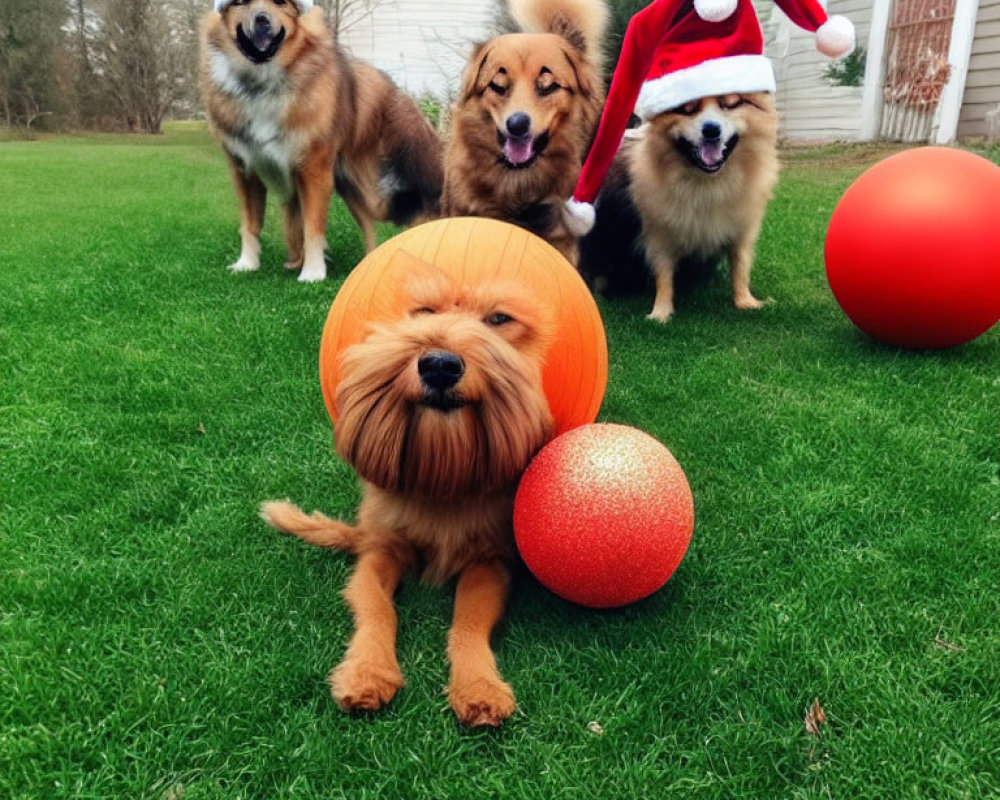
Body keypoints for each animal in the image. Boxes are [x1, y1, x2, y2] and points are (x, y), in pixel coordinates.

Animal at [201, 0, 440, 282]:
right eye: (240, 3)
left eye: (281, 3)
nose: (262, 20)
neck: (263, 83)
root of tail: (398, 93)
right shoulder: (245, 171)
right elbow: (250, 224)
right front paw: (247, 264)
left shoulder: (312, 170)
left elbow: (312, 228)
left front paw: (313, 273)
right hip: (350, 188)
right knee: (370, 226)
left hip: (378, 192)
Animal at [258, 266, 556, 728]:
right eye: (424, 312)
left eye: (498, 320)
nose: (440, 366)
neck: (442, 479)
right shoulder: (380, 552)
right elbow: (378, 608)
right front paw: (367, 672)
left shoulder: (489, 562)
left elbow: (469, 618)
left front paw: (478, 686)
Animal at [580, 93, 780, 318]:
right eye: (687, 109)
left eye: (730, 104)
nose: (711, 129)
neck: (708, 182)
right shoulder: (658, 233)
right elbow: (663, 274)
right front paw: (661, 313)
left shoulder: (742, 229)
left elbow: (740, 266)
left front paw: (746, 301)